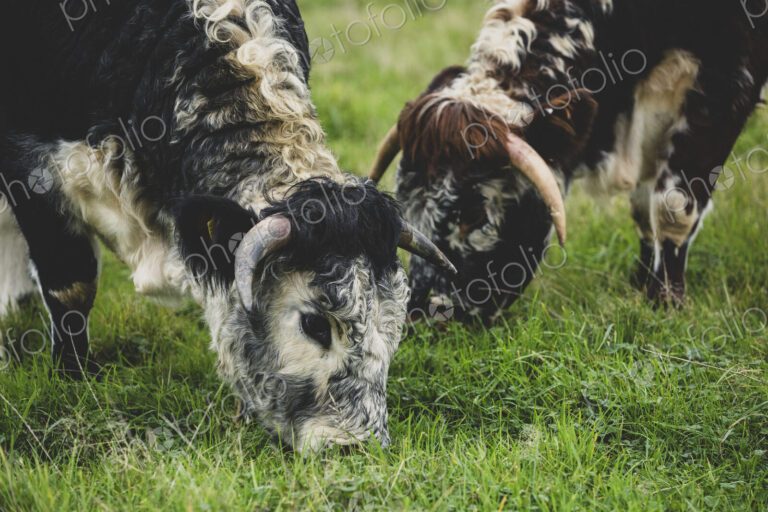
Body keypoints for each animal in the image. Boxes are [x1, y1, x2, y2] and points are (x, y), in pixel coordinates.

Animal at [0, 0, 455, 452]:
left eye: (394, 328)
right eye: (314, 323)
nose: (355, 445)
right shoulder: (32, 169)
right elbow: (72, 287)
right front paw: (73, 379)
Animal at [370, 0, 768, 324]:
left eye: (474, 215)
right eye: (405, 203)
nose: (421, 314)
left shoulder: (725, 86)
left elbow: (672, 207)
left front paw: (666, 302)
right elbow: (642, 209)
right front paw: (641, 282)